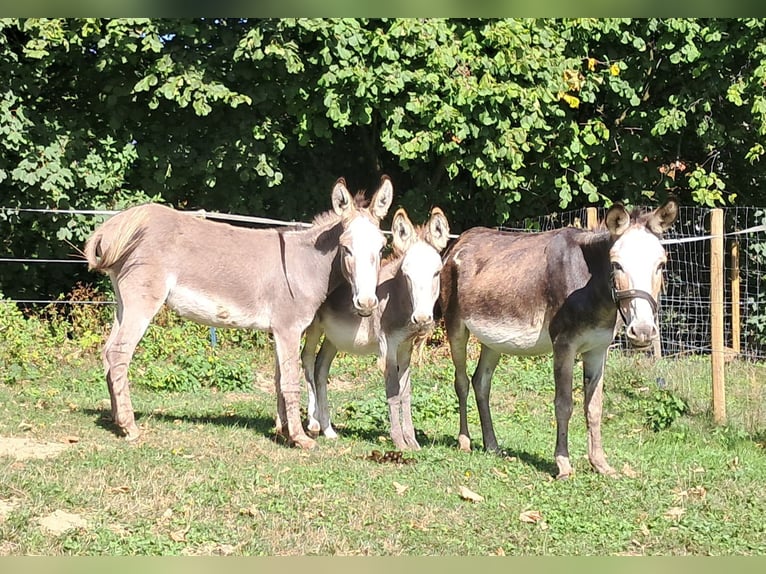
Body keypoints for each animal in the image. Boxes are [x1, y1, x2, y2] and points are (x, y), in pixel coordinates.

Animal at [84, 176, 394, 449]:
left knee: (108, 351)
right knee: (120, 353)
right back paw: (130, 427)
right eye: (346, 248)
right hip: (142, 300)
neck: (305, 264)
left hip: (123, 302)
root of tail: (121, 222)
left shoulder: (278, 330)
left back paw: (116, 421)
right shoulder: (289, 328)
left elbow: (278, 379)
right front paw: (300, 438)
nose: (366, 304)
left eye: (382, 248)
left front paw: (282, 431)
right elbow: (290, 380)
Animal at [301, 206, 450, 449]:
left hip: (334, 337)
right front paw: (399, 441)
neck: (398, 298)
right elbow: (393, 390)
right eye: (407, 274)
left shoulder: (405, 347)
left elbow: (406, 391)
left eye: (437, 272)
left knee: (320, 368)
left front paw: (412, 441)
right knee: (304, 359)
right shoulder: (388, 346)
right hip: (313, 326)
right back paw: (311, 424)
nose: (422, 319)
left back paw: (328, 429)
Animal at [439, 200, 678, 478]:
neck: (591, 286)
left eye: (660, 264)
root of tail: (460, 240)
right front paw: (563, 464)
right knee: (462, 382)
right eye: (617, 265)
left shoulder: (598, 349)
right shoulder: (564, 345)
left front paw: (601, 464)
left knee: (481, 383)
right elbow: (564, 404)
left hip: (493, 338)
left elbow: (594, 407)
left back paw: (492, 446)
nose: (642, 332)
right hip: (456, 326)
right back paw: (464, 441)